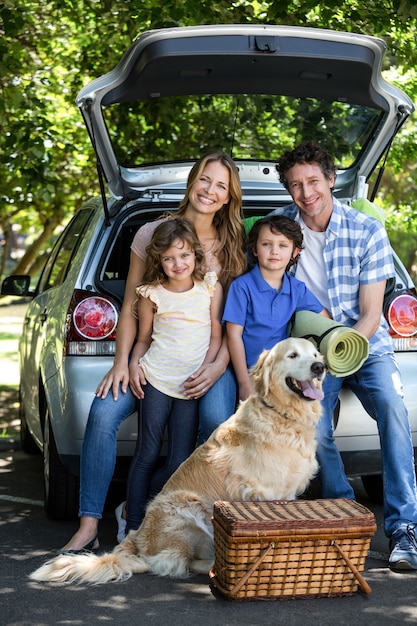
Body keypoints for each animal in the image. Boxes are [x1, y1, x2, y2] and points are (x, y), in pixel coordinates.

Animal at [30, 338, 324, 584]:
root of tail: (136, 540)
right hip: (189, 509)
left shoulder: (287, 495)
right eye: (292, 355)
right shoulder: (260, 493)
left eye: (315, 354)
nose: (320, 367)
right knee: (180, 562)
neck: (284, 417)